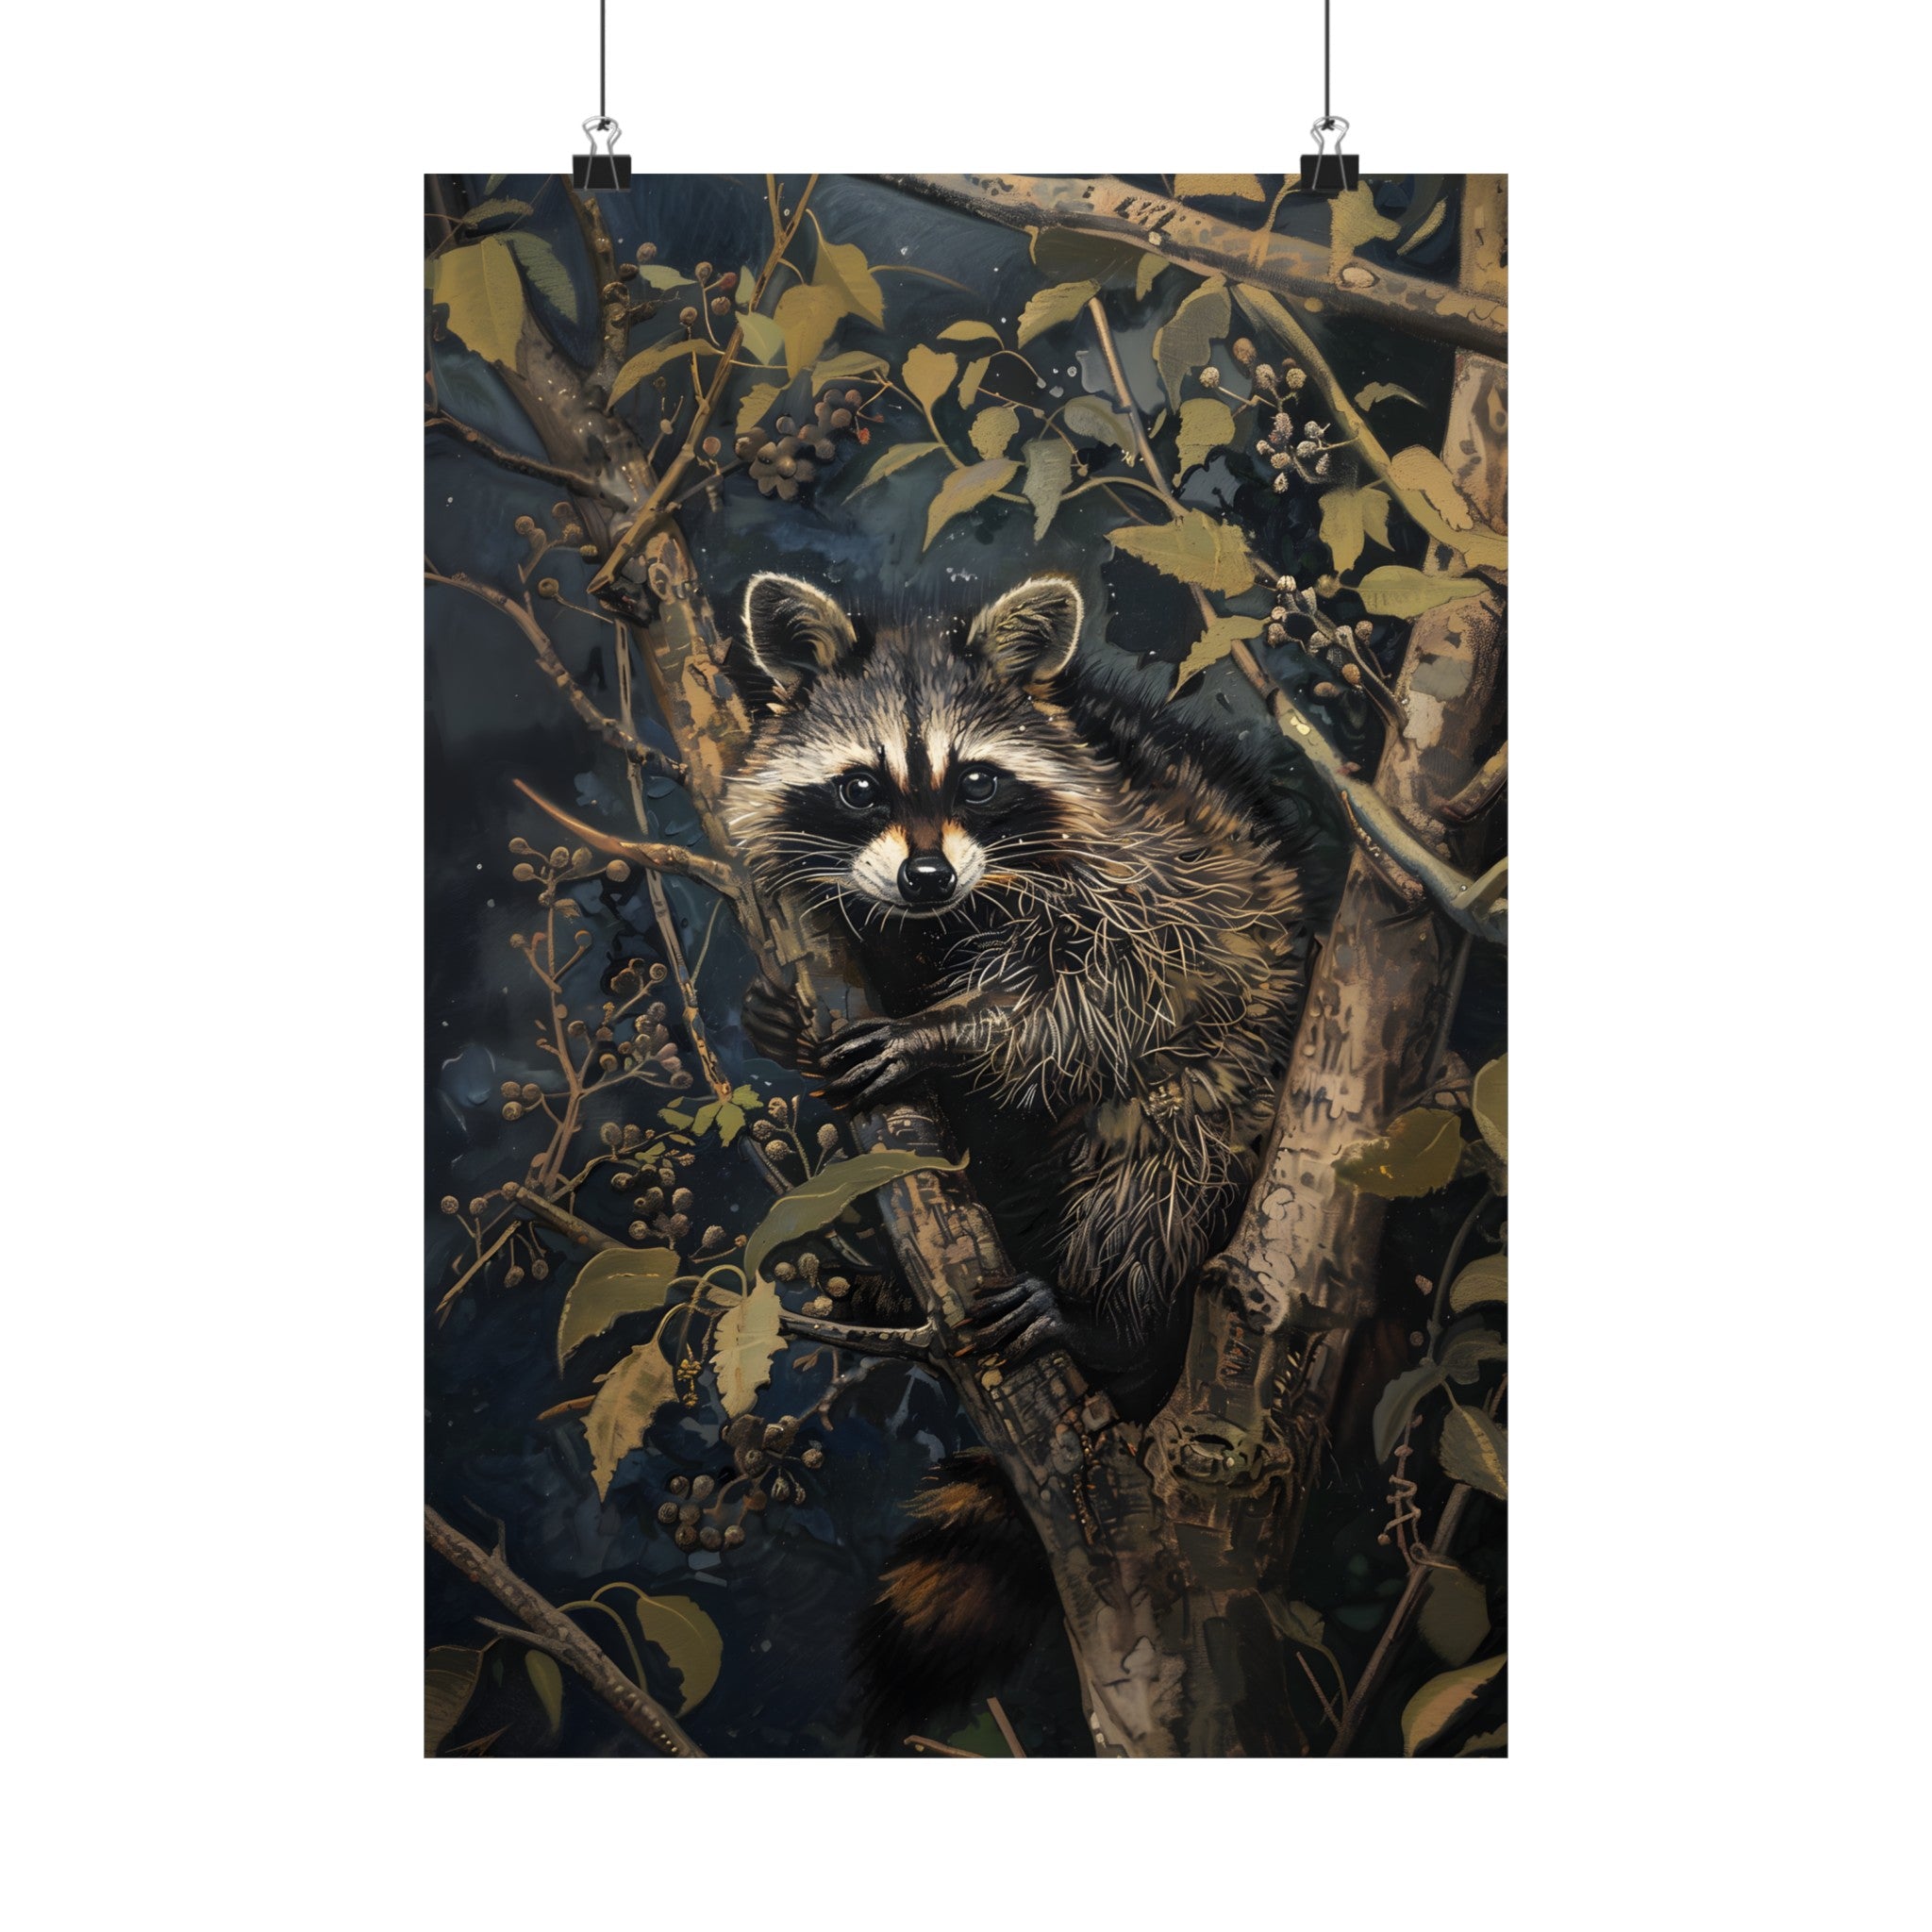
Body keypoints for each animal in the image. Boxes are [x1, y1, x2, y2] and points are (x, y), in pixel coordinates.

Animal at [726, 570, 1311, 1745]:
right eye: (860, 786)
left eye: (977, 779)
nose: (921, 873)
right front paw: (797, 1019)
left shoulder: (1150, 877)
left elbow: (1094, 1003)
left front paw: (947, 1030)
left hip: (1237, 1079)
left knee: (1160, 1161)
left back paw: (1108, 1316)